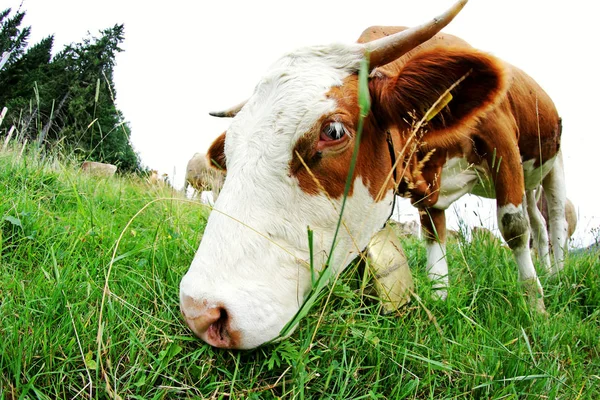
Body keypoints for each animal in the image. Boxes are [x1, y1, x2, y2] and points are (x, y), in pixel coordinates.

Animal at [178, 0, 568, 348]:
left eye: (333, 131)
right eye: (230, 148)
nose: (201, 312)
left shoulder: (502, 141)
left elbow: (513, 227)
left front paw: (535, 308)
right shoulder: (428, 189)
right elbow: (434, 234)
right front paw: (440, 294)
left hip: (553, 167)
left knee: (551, 222)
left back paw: (556, 272)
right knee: (538, 222)